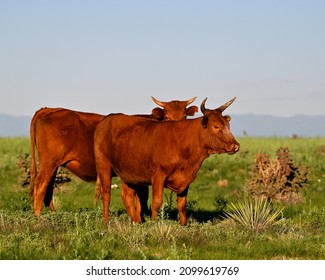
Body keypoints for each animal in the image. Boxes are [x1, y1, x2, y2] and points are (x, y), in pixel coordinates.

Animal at [30, 97, 197, 215]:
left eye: (185, 116)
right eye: (167, 116)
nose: (178, 131)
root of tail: (50, 109)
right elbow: (142, 199)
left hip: (53, 166)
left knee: (48, 190)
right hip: (49, 163)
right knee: (40, 186)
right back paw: (38, 216)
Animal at [93, 98, 238, 225]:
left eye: (228, 125)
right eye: (216, 126)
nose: (235, 146)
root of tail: (107, 119)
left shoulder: (185, 178)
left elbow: (182, 204)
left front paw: (183, 225)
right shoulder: (158, 176)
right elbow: (157, 202)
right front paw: (153, 224)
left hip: (129, 174)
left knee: (127, 196)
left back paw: (136, 222)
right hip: (103, 166)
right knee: (106, 194)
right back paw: (106, 222)